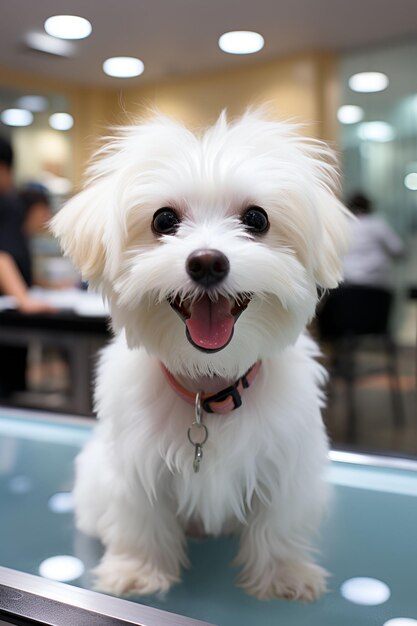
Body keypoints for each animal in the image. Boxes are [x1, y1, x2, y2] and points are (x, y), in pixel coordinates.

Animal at [51, 108, 348, 600]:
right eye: (164, 220)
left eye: (256, 219)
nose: (207, 261)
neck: (208, 383)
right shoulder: (133, 467)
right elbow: (140, 519)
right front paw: (138, 572)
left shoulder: (288, 461)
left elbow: (279, 522)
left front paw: (283, 575)